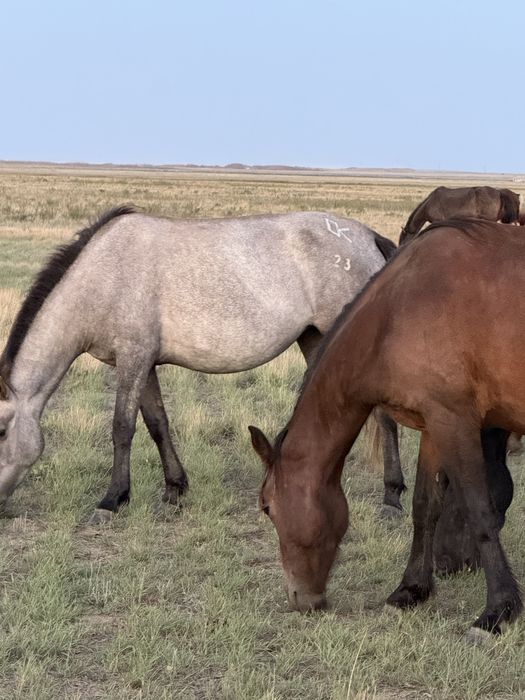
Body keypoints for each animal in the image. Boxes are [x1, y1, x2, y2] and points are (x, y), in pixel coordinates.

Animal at [0, 206, 403, 524]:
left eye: (2, 431)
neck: (102, 276)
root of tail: (367, 237)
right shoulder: (143, 362)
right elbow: (157, 423)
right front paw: (174, 489)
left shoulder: (132, 359)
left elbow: (122, 428)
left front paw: (111, 501)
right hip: (315, 338)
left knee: (383, 417)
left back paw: (392, 498)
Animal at [250, 218, 525, 639]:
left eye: (267, 508)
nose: (300, 599)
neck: (400, 309)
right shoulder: (433, 425)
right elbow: (424, 508)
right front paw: (411, 589)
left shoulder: (455, 421)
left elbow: (480, 510)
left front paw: (497, 610)